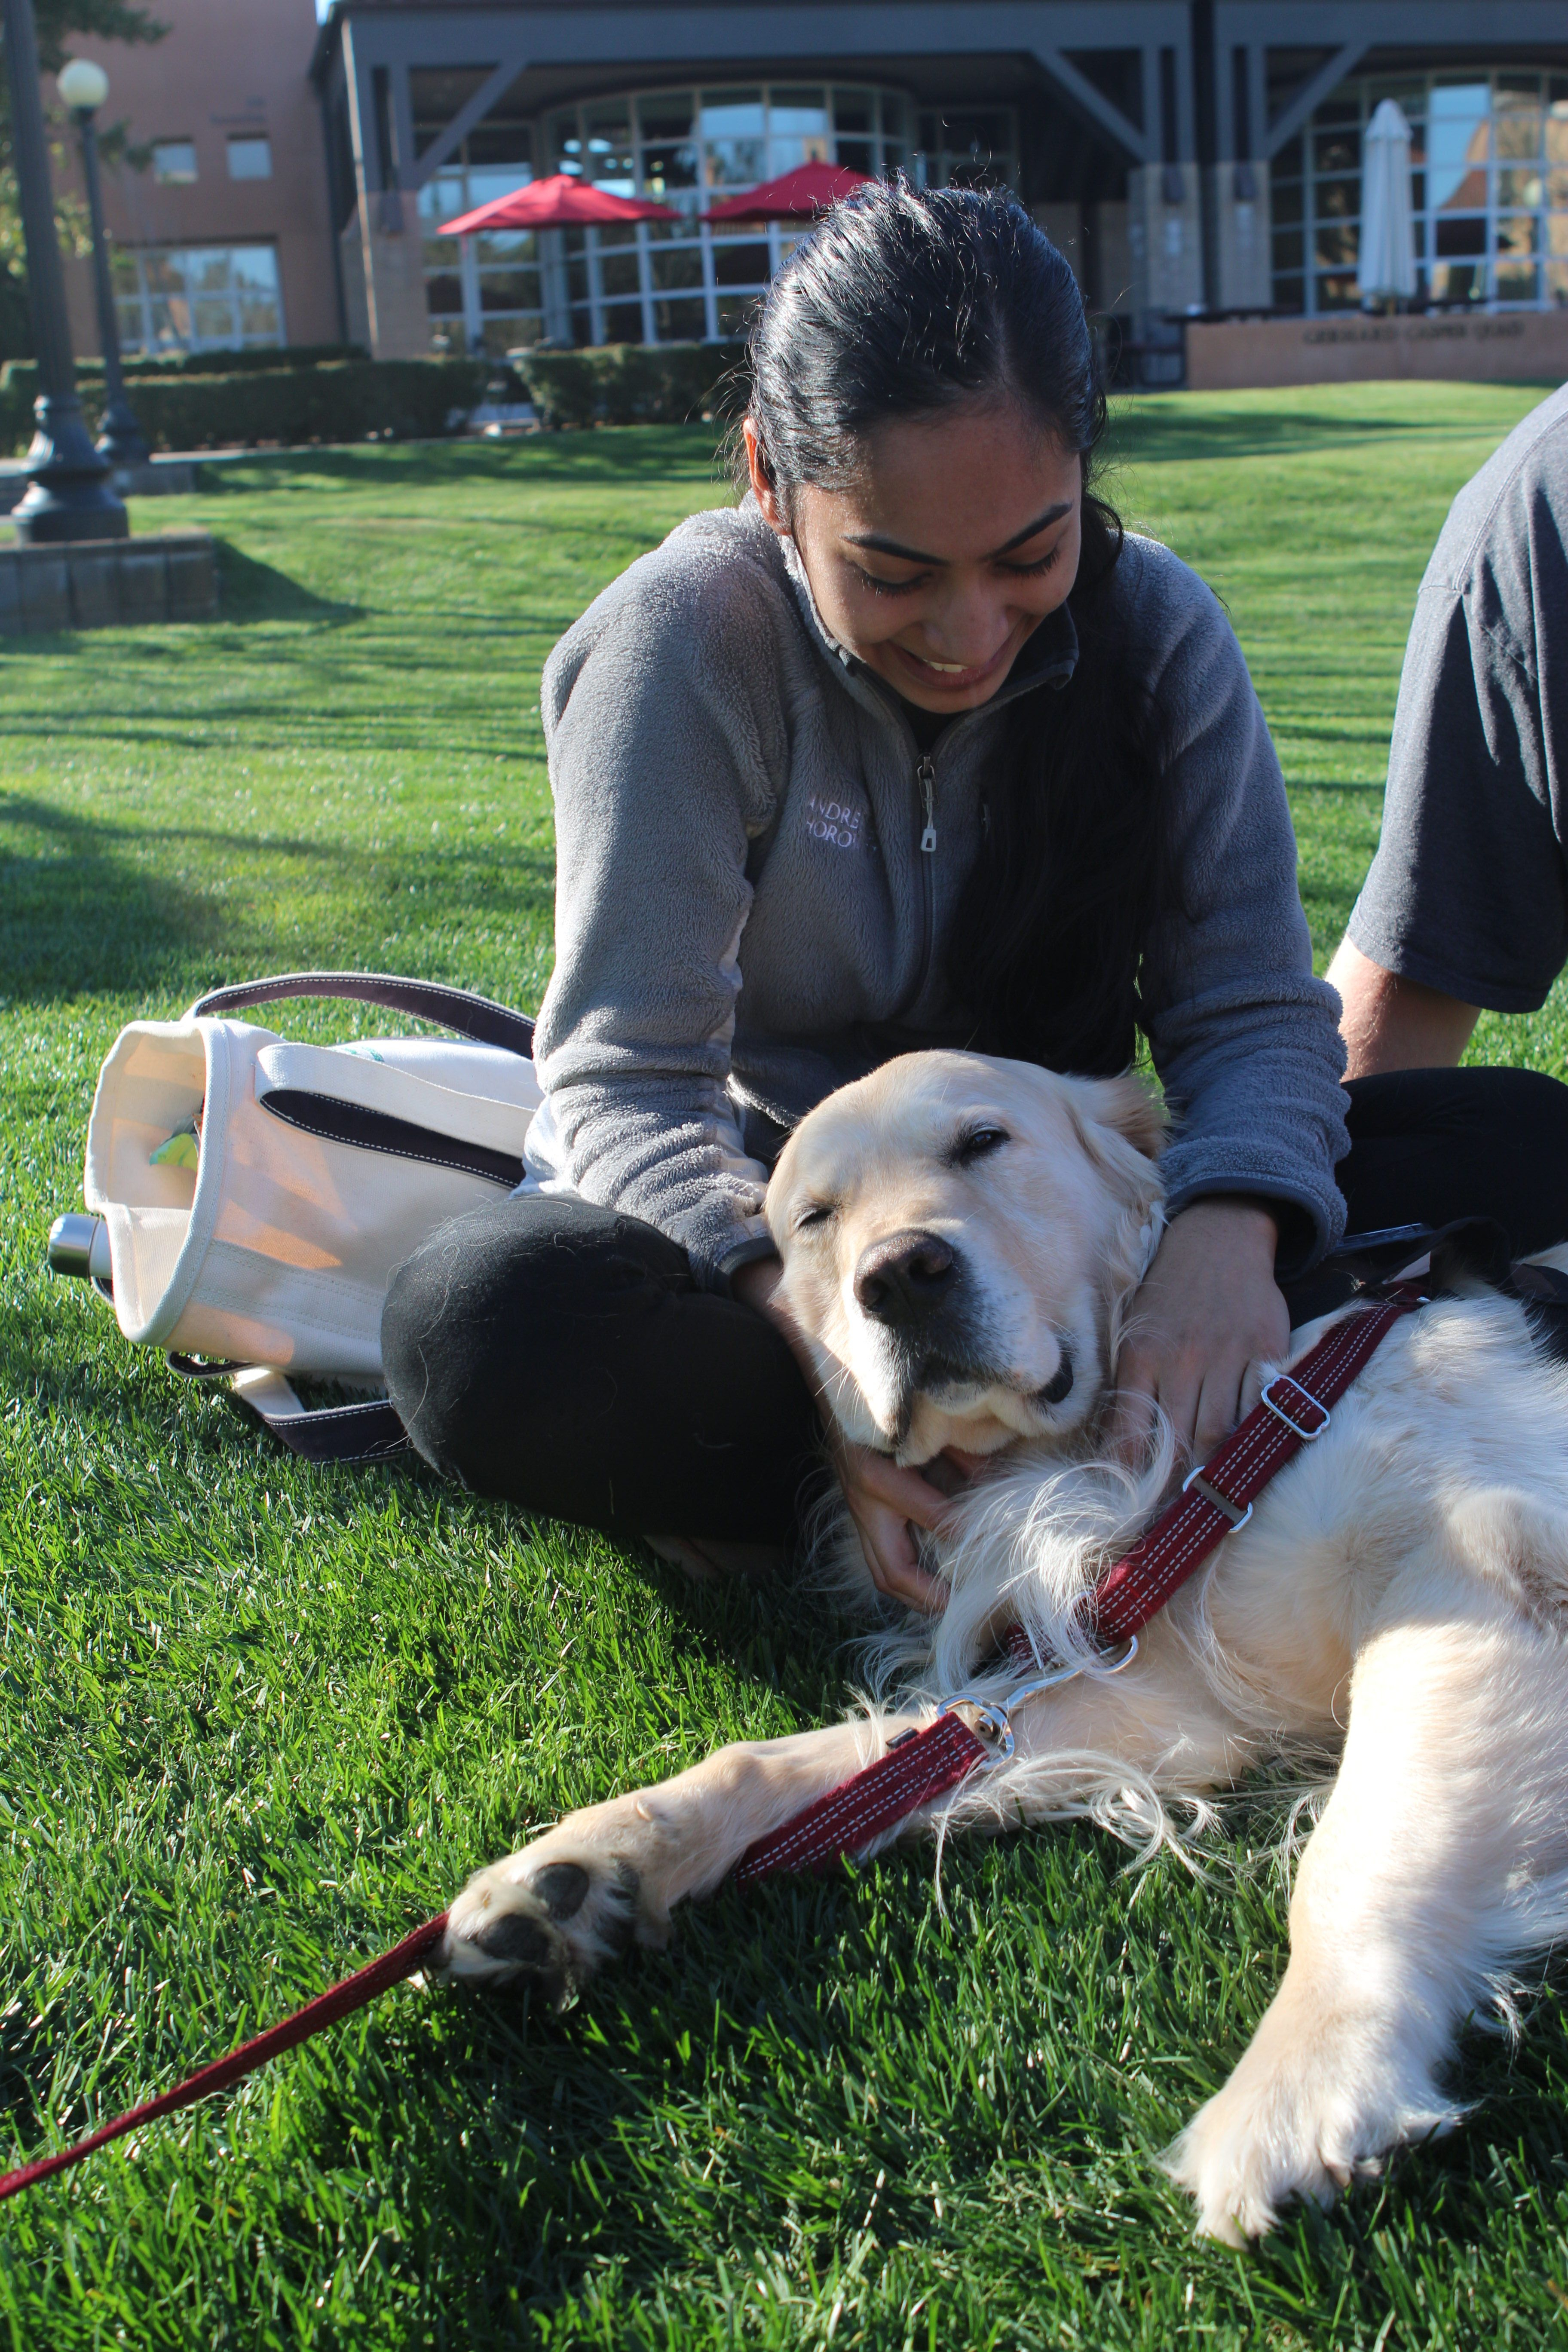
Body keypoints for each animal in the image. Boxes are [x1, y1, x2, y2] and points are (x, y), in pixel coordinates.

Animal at [435, 1049, 1568, 2239]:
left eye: (983, 1141)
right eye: (815, 1218)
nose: (902, 1276)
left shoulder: (1487, 1571)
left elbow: (1363, 1855)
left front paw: (1304, 2083)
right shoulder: (1159, 1689)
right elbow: (834, 1757)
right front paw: (578, 1868)